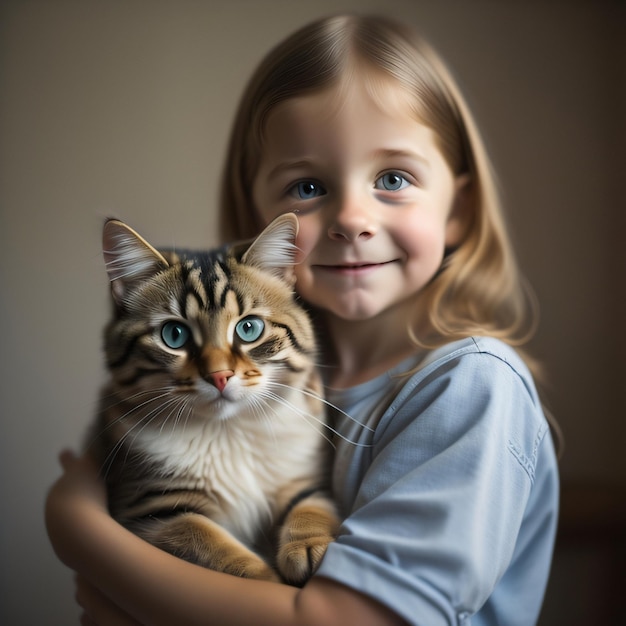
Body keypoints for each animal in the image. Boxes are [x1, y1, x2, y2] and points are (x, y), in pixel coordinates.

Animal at [86, 214, 336, 584]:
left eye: (249, 329)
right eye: (174, 335)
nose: (219, 376)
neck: (228, 430)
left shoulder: (305, 482)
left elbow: (311, 508)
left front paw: (309, 547)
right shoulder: (150, 512)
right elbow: (214, 547)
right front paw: (268, 578)